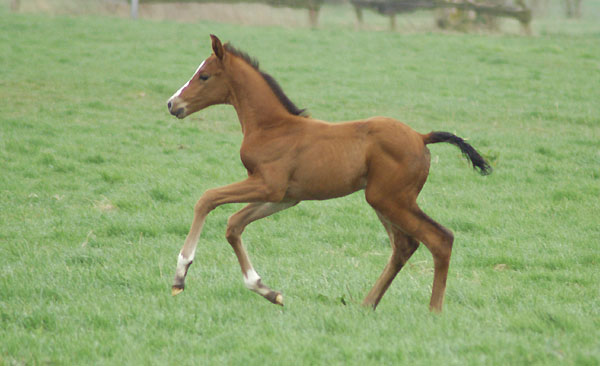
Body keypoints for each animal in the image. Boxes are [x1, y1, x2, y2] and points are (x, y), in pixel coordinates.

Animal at [166, 35, 490, 312]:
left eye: (203, 76)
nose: (172, 104)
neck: (273, 127)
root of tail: (421, 137)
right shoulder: (285, 197)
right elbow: (234, 225)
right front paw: (268, 291)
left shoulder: (268, 185)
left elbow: (207, 199)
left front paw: (180, 275)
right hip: (384, 201)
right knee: (404, 246)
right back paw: (366, 304)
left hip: (390, 200)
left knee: (440, 239)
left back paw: (433, 310)